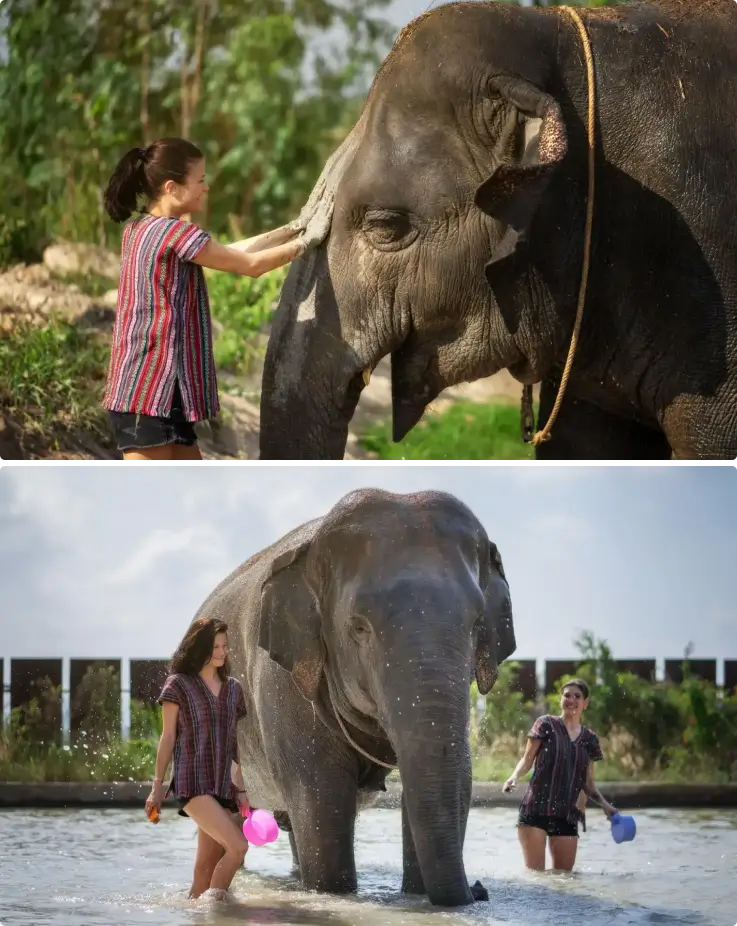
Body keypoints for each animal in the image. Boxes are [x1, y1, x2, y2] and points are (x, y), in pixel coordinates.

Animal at [191, 488, 515, 907]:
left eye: (477, 625)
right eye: (359, 628)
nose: (479, 891)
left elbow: (454, 780)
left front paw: (418, 895)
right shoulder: (282, 684)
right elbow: (321, 798)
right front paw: (333, 894)